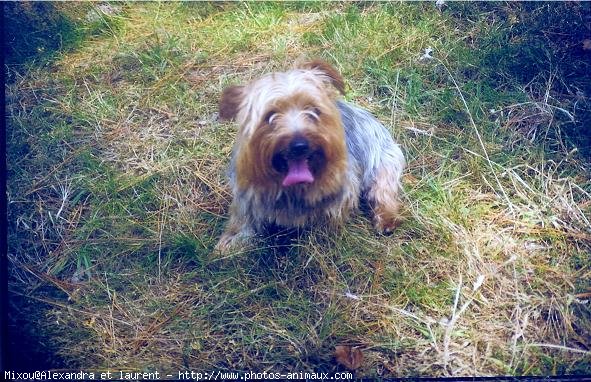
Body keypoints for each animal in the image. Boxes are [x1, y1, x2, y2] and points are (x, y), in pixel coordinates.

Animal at [217, 59, 408, 252]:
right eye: (270, 116)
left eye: (314, 111)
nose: (299, 145)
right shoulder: (247, 191)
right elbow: (243, 217)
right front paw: (231, 240)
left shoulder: (340, 190)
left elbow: (330, 214)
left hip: (384, 161)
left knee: (382, 191)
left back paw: (386, 220)